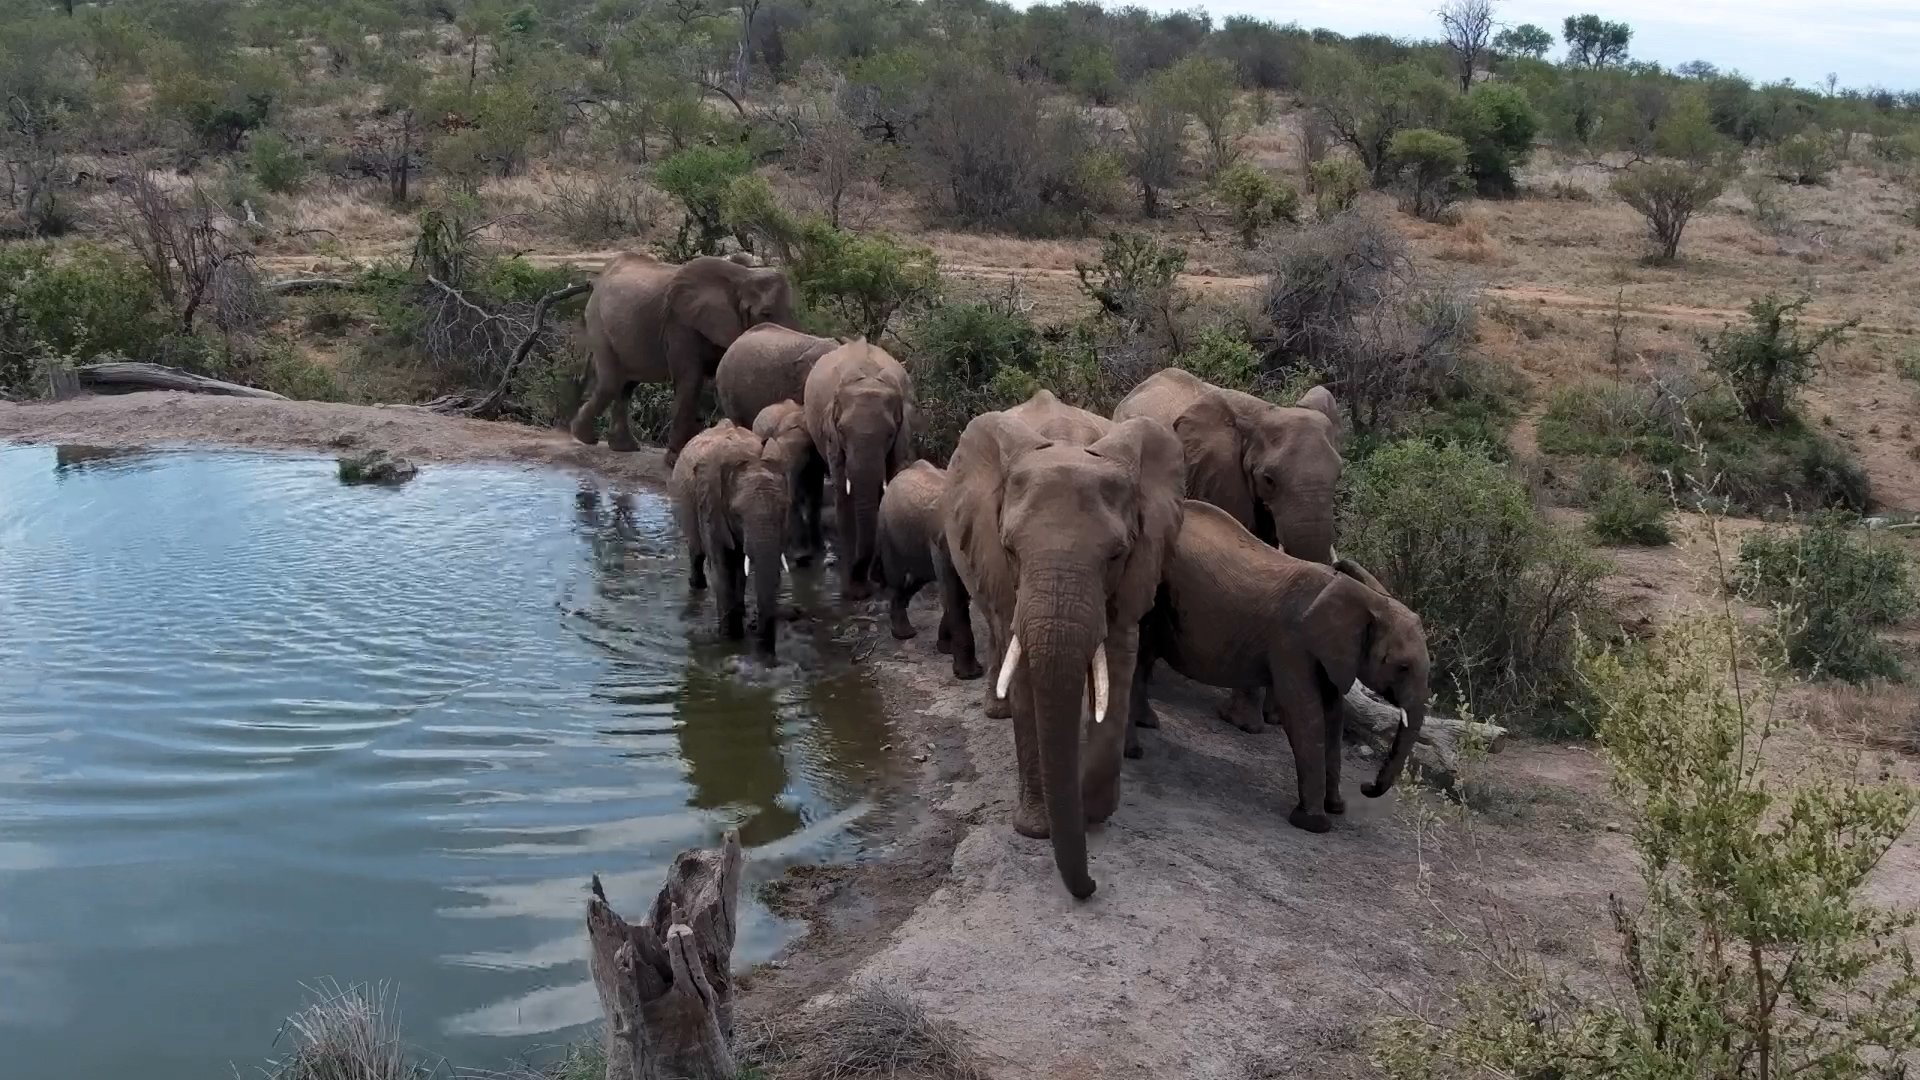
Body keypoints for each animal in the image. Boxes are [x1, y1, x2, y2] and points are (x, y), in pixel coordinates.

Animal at [573, 252, 798, 464]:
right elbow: (690, 380)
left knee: (627, 386)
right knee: (611, 383)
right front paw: (675, 460)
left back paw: (622, 447)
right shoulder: (680, 322)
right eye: (766, 313)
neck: (743, 277)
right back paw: (586, 438)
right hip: (598, 322)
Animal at [668, 420, 790, 653]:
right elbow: (721, 565)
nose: (759, 637)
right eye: (737, 514)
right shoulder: (710, 504)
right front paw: (730, 640)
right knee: (697, 553)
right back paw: (698, 587)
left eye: (784, 511)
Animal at [803, 340, 913, 602]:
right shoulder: (832, 437)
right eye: (842, 431)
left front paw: (880, 581)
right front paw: (854, 592)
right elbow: (844, 495)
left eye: (890, 434)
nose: (858, 574)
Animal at [943, 400, 1187, 899]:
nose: (1092, 885)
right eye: (1011, 549)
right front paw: (1037, 830)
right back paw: (996, 709)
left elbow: (1118, 659)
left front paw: (1091, 809)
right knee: (995, 624)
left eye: (1116, 555)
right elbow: (1027, 676)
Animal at [1133, 500, 1430, 832]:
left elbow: (1333, 716)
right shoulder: (1293, 642)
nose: (1368, 787)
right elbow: (1305, 714)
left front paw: (1335, 808)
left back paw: (1145, 724)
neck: (1370, 601)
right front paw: (1314, 824)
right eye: (1403, 667)